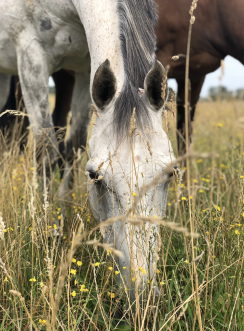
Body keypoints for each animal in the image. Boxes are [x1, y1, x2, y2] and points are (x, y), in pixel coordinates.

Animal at [0, 0, 175, 308]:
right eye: (95, 176)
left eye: (170, 174)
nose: (142, 298)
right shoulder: (31, 56)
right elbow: (46, 151)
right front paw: (46, 228)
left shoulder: (84, 70)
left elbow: (73, 147)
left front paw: (62, 216)